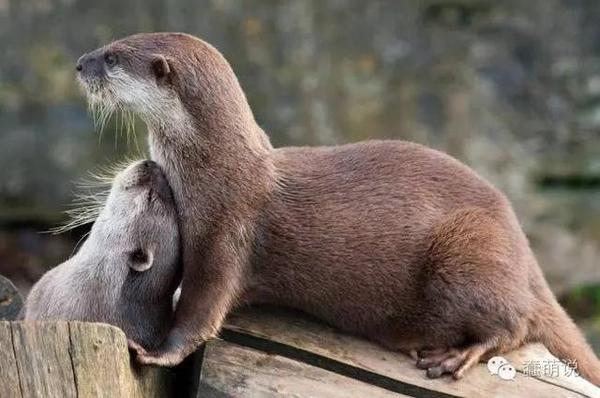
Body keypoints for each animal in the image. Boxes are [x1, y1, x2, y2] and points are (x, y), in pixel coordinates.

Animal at [75, 34, 600, 386]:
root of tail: (523, 247)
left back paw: (455, 356)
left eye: (112, 57)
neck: (214, 173)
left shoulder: (225, 237)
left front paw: (152, 352)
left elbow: (200, 316)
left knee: (518, 323)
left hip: (468, 251)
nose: (80, 63)